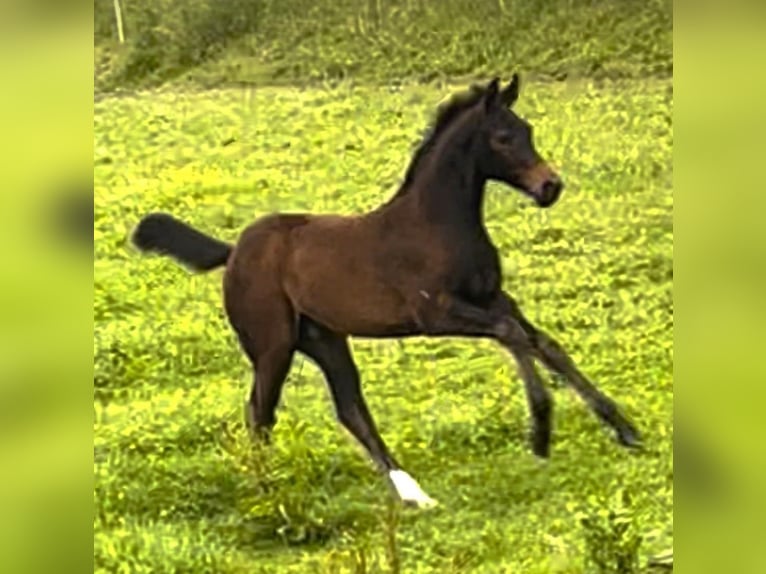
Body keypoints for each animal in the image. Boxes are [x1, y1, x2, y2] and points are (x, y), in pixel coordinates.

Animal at [132, 75, 640, 508]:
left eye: (527, 129)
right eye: (501, 138)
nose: (550, 186)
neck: (437, 224)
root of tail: (234, 250)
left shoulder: (494, 297)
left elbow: (545, 343)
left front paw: (625, 429)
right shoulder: (435, 314)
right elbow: (511, 334)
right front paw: (540, 431)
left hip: (324, 338)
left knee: (350, 409)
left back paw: (413, 494)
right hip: (273, 344)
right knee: (261, 411)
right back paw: (269, 489)